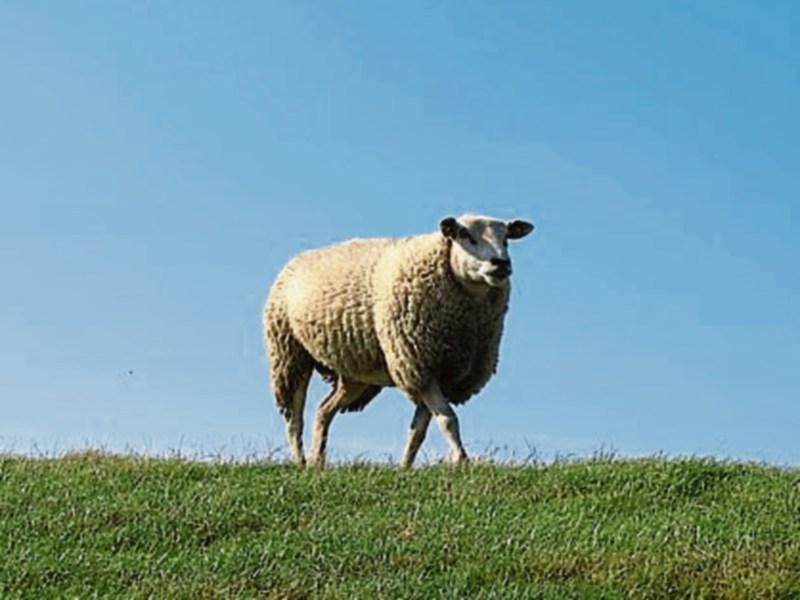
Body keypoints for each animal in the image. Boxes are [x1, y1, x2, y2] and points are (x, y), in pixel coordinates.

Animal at [263, 214, 534, 468]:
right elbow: (447, 419)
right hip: (289, 353)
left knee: (323, 410)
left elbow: (418, 430)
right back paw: (300, 462)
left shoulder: (437, 373)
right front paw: (462, 461)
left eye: (506, 239)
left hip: (355, 374)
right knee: (294, 417)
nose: (501, 264)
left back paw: (318, 462)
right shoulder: (418, 365)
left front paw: (405, 468)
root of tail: (295, 260)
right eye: (465, 235)